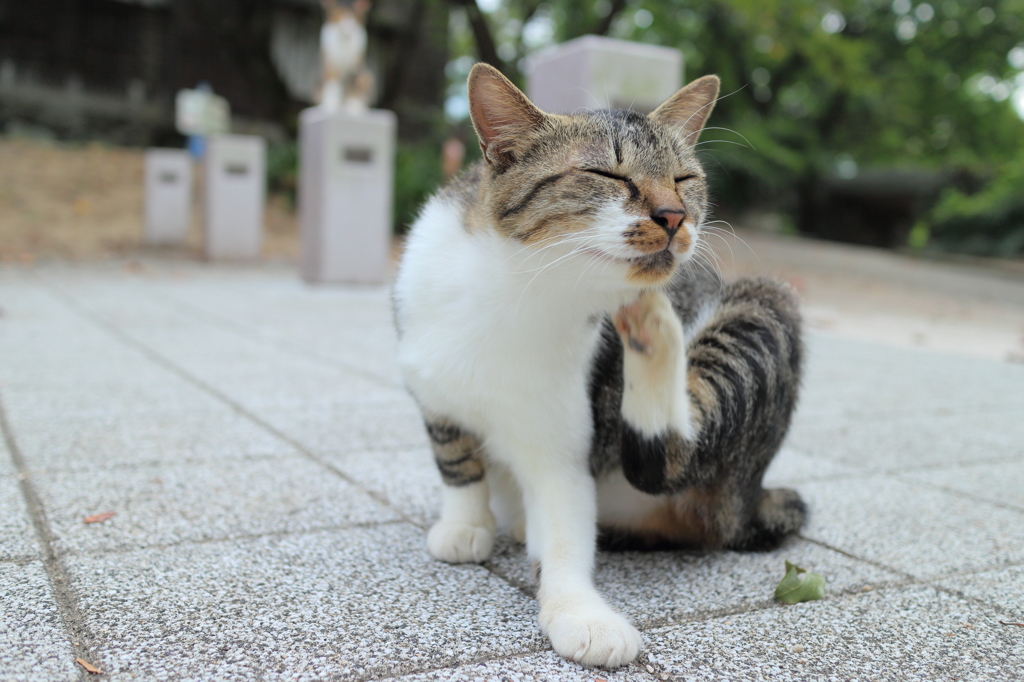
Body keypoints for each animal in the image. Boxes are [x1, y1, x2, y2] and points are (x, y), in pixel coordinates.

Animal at [393, 63, 806, 663]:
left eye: (683, 178)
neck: (518, 290)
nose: (675, 216)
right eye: (605, 173)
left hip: (763, 305)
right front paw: (465, 524)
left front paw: (580, 613)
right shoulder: (432, 388)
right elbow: (456, 459)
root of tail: (748, 501)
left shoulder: (561, 440)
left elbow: (566, 528)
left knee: (674, 451)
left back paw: (655, 328)